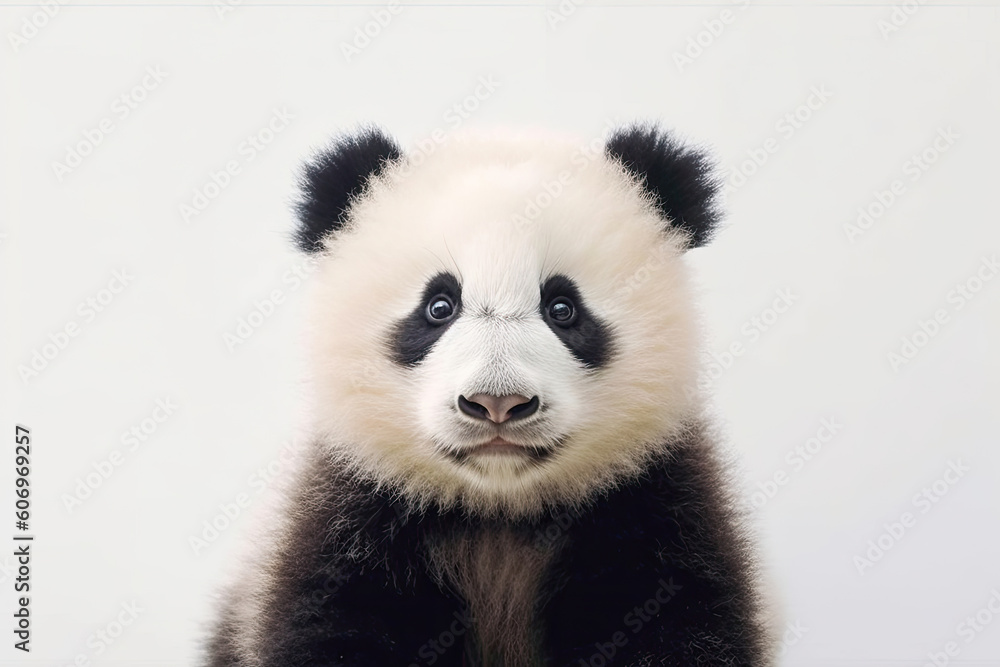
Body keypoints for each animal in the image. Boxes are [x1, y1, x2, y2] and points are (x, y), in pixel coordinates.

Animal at [205, 123, 774, 666]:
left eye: (563, 308)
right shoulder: (347, 518)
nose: (497, 403)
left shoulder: (659, 507)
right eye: (439, 306)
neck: (499, 513)